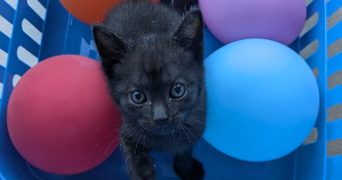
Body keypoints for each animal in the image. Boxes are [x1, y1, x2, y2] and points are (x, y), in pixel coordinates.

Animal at [92, 0, 206, 179]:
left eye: (177, 90)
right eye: (138, 96)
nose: (160, 118)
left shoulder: (194, 128)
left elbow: (184, 150)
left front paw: (187, 171)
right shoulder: (128, 132)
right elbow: (137, 163)